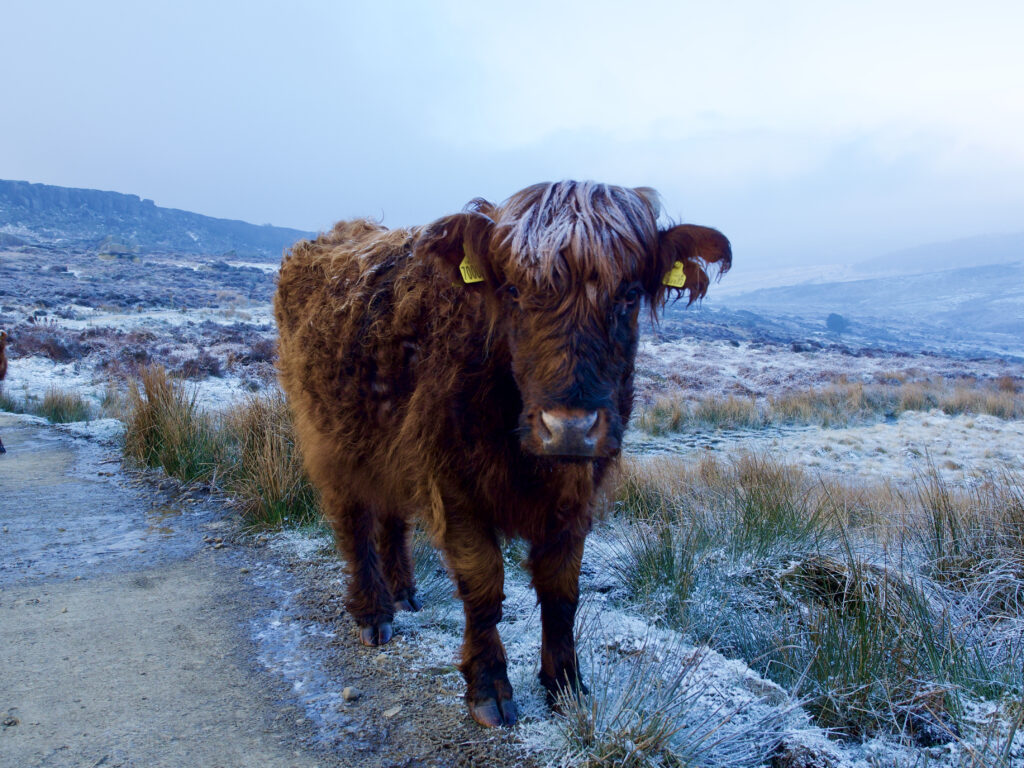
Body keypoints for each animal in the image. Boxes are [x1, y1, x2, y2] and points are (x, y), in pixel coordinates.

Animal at [276, 180, 733, 729]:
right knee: (354, 520)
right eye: (513, 292)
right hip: (331, 436)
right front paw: (489, 687)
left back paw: (403, 591)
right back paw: (373, 612)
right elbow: (483, 585)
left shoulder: (577, 492)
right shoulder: (453, 484)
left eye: (628, 294)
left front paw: (565, 684)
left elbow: (562, 592)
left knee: (391, 516)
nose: (569, 428)